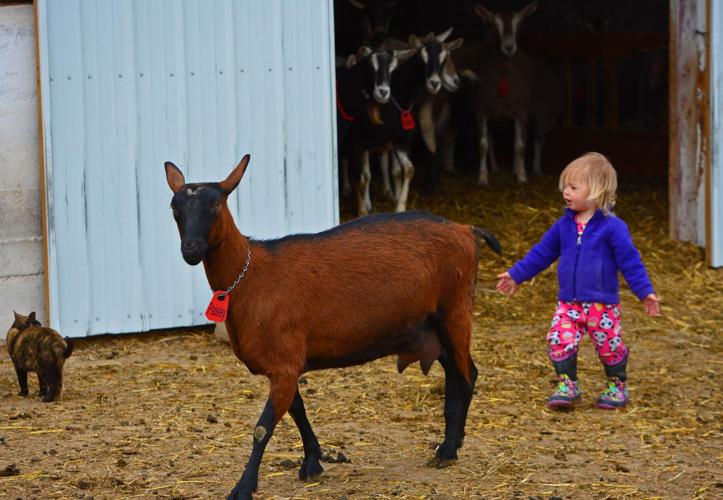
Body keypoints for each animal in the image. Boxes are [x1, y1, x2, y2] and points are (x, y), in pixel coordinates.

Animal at [164, 155, 502, 499]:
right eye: (175, 208)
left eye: (215, 206)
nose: (191, 248)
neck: (252, 276)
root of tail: (467, 230)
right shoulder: (286, 364)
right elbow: (297, 411)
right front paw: (312, 463)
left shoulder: (285, 362)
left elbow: (263, 427)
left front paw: (244, 486)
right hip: (432, 325)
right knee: (454, 375)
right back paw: (450, 443)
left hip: (455, 310)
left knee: (467, 375)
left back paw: (448, 451)